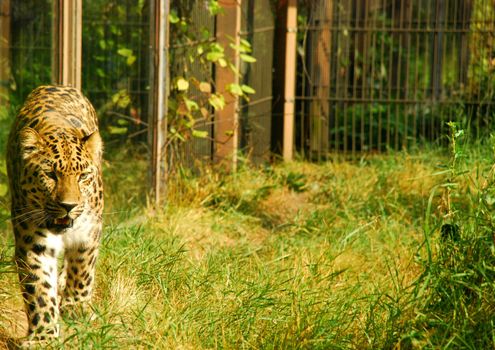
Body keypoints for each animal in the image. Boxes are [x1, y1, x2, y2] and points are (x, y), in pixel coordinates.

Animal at [5, 85, 104, 342]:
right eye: (50, 174)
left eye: (83, 176)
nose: (68, 205)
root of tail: (58, 85)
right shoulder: (33, 243)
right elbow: (39, 289)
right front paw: (44, 336)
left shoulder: (89, 232)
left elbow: (82, 269)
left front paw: (76, 307)